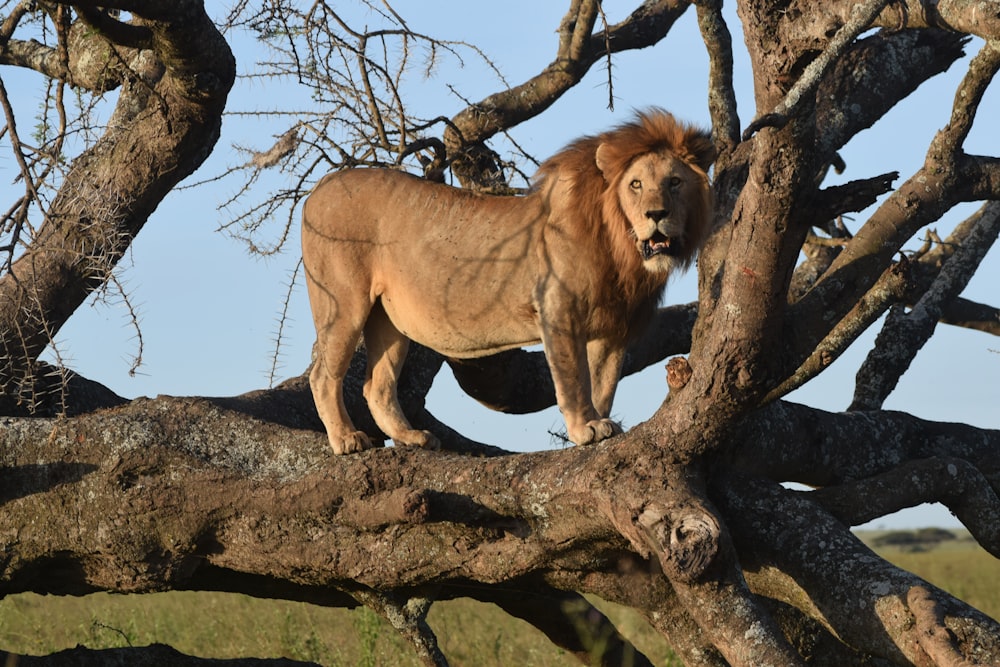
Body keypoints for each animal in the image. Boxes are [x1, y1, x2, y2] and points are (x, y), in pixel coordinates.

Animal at [300, 109, 716, 456]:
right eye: (635, 184)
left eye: (674, 182)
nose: (656, 214)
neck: (621, 247)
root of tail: (319, 188)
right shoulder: (558, 311)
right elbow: (574, 379)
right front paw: (585, 427)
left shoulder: (614, 329)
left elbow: (603, 384)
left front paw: (599, 422)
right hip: (344, 304)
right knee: (323, 376)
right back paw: (346, 440)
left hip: (388, 320)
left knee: (377, 385)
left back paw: (410, 437)